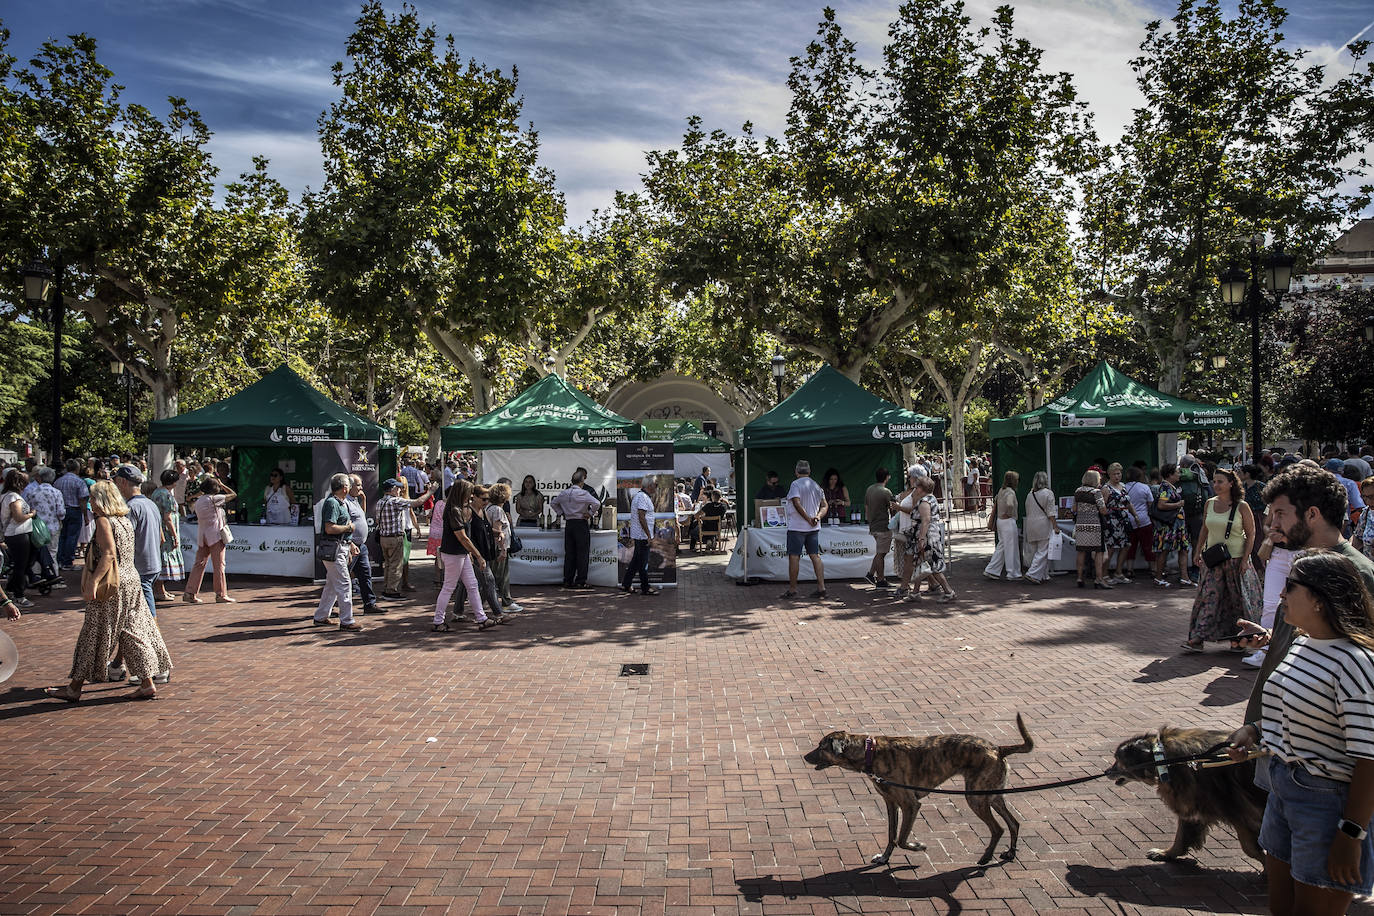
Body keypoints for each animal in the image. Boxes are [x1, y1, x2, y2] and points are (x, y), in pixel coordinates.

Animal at [802, 714, 1033, 867]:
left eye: (821, 747)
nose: (804, 756)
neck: (870, 752)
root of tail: (997, 748)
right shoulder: (891, 803)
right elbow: (892, 835)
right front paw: (884, 858)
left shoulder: (910, 805)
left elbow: (902, 839)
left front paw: (918, 846)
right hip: (991, 796)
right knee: (1013, 823)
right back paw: (1010, 853)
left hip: (976, 798)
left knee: (998, 828)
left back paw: (986, 857)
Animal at [1104, 725, 1264, 862]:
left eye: (1118, 760)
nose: (1106, 772)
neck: (1164, 757)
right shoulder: (1194, 800)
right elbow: (1181, 836)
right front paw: (1167, 853)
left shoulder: (1240, 812)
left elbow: (1250, 848)